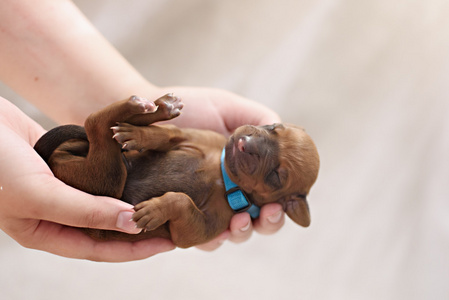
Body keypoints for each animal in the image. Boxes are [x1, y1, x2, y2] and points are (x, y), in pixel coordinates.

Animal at [34, 94, 318, 248]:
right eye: (273, 127)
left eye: (276, 176)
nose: (243, 143)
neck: (223, 176)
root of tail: (54, 160)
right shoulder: (193, 137)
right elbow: (170, 133)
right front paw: (140, 135)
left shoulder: (197, 230)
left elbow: (182, 202)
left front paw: (155, 210)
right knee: (98, 125)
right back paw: (155, 109)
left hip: (104, 178)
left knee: (94, 124)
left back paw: (140, 107)